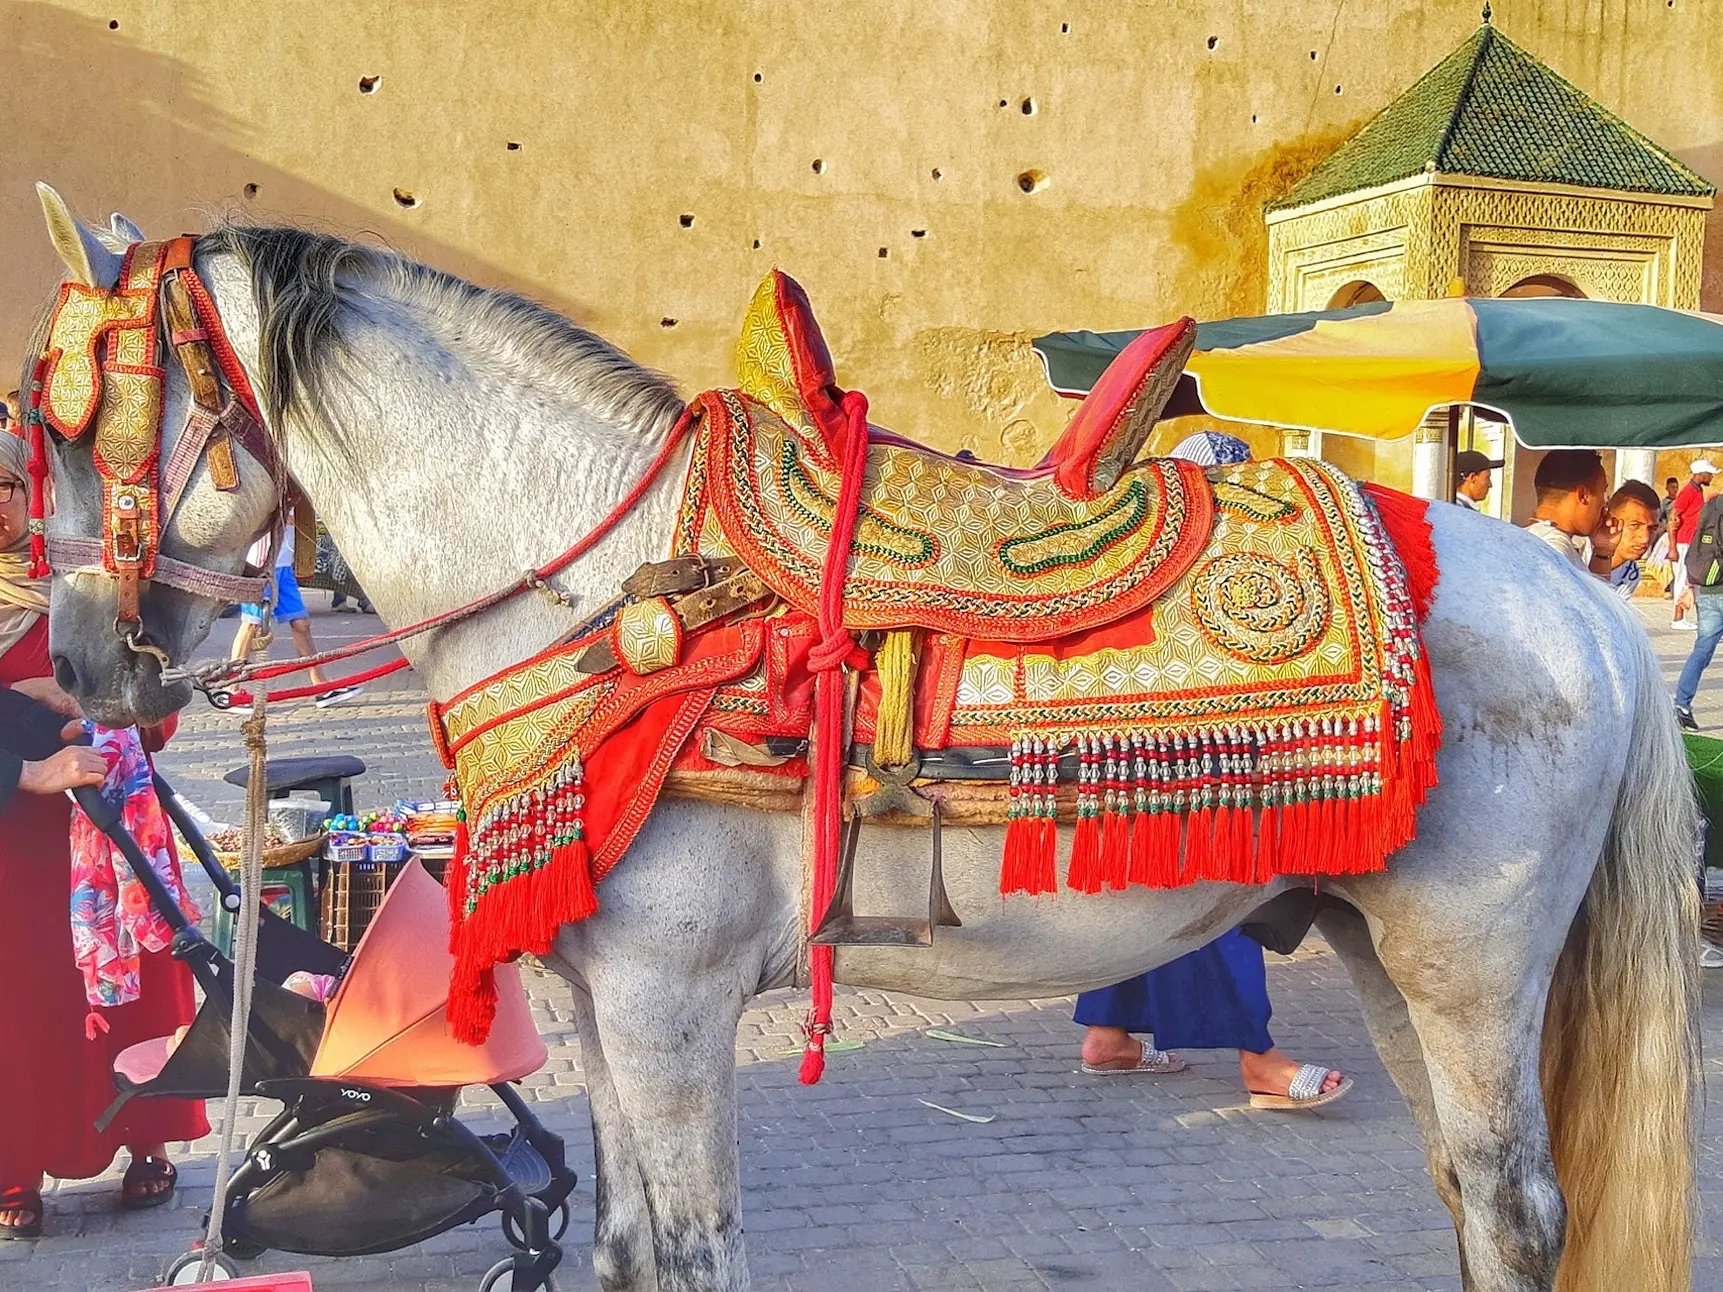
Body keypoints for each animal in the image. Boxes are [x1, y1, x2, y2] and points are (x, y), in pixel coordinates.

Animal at [33, 192, 1702, 1292]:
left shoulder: (670, 1005)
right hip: (1377, 945)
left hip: (1470, 956)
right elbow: (628, 1254)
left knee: (1516, 1207)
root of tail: (1573, 594)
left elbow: (692, 1253)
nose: (78, 662)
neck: (610, 580)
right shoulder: (593, 1007)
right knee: (1465, 1195)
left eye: (85, 424)